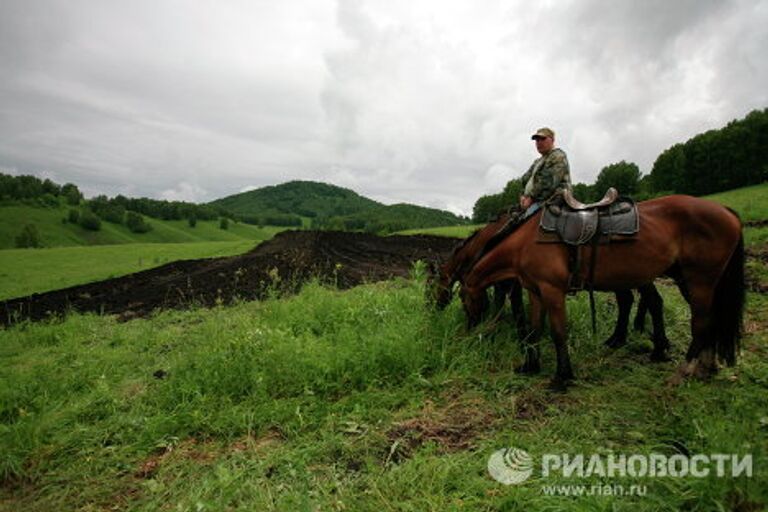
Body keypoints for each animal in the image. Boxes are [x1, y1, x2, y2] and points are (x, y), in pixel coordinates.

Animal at [460, 194, 740, 386]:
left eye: (463, 301)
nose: (469, 331)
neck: (524, 242)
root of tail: (726, 211)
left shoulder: (552, 291)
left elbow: (558, 332)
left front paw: (562, 377)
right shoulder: (535, 291)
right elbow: (534, 329)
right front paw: (530, 366)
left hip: (699, 281)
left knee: (701, 323)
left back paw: (683, 371)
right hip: (691, 282)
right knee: (709, 320)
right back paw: (705, 367)